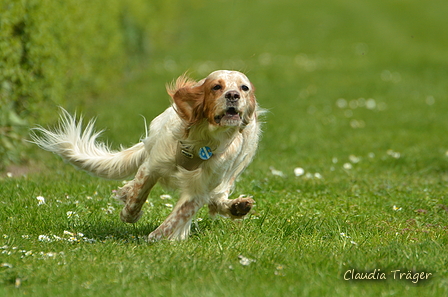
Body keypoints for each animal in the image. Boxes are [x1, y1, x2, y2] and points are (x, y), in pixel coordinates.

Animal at [33, 70, 264, 240]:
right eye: (216, 86)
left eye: (244, 87)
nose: (233, 95)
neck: (203, 141)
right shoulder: (152, 166)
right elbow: (137, 196)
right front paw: (128, 213)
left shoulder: (200, 189)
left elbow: (179, 215)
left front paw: (156, 237)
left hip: (235, 168)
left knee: (218, 198)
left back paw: (237, 207)